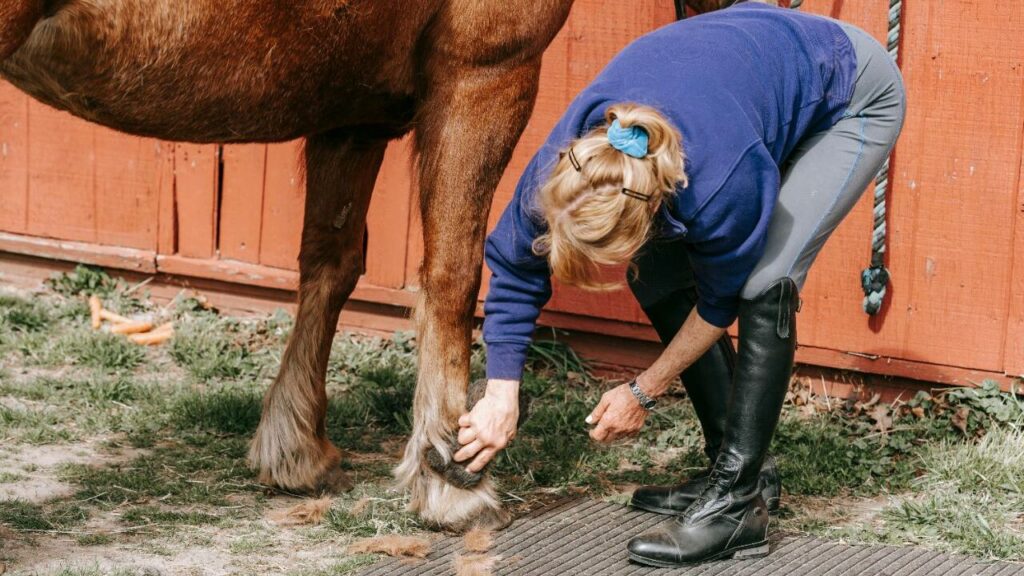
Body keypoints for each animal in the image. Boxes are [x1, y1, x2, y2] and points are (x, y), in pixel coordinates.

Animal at [0, 0, 758, 531]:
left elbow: (331, 262)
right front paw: (452, 474)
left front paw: (294, 447)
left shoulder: (351, 115)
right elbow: (452, 272)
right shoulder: (484, 73)